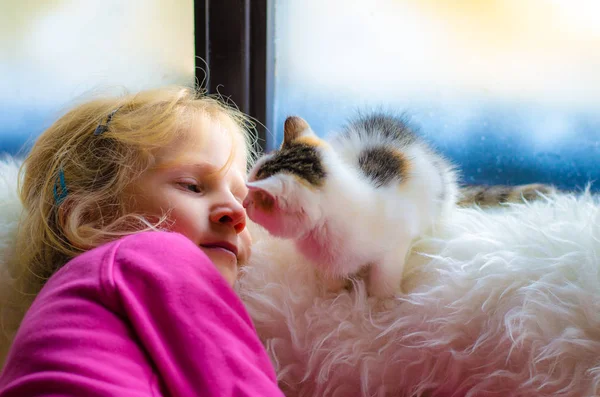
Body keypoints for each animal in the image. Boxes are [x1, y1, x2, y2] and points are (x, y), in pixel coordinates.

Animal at [241, 112, 556, 296]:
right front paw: (335, 297)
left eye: (256, 199)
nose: (242, 202)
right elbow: (332, 275)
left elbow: (385, 273)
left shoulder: (396, 239)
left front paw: (381, 305)